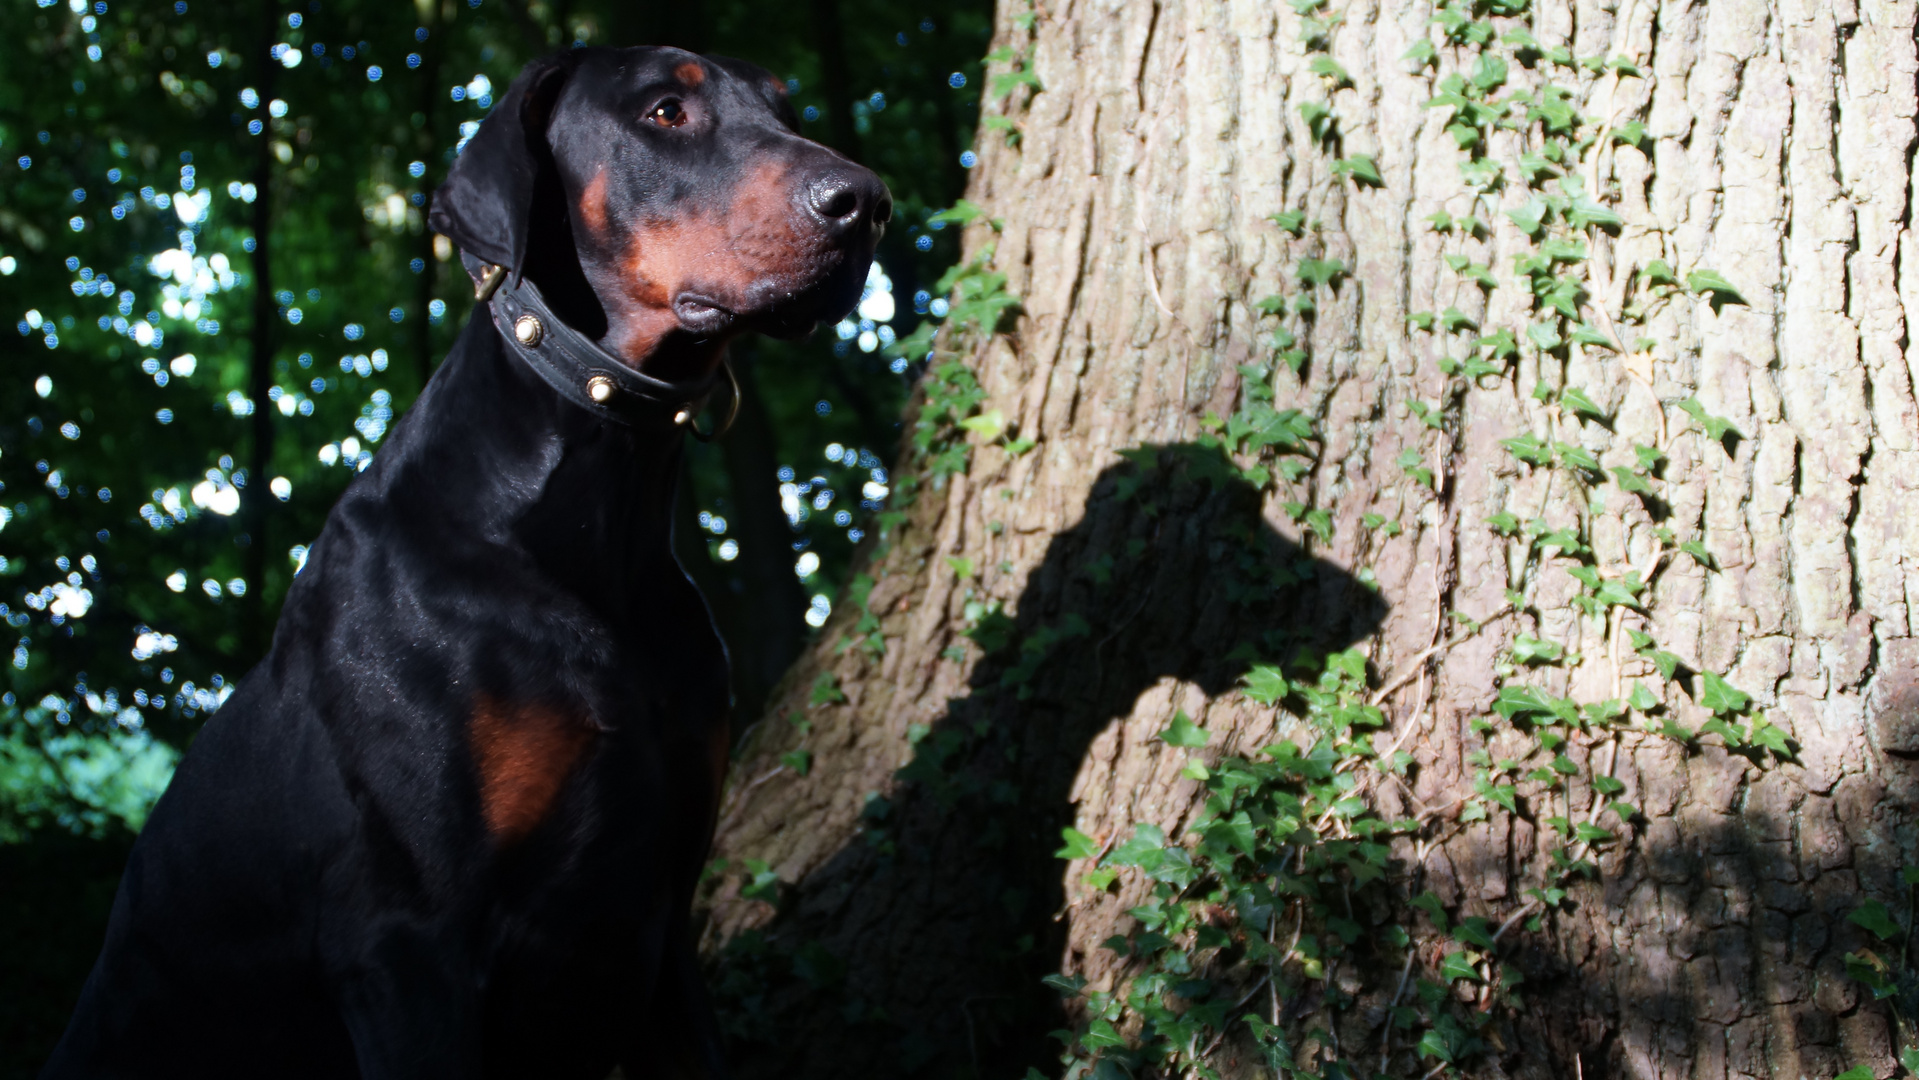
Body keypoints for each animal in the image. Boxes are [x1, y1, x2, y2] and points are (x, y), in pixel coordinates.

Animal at [43, 46, 882, 1074]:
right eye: (665, 111)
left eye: (785, 110)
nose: (868, 202)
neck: (591, 524)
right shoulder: (409, 942)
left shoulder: (665, 927)